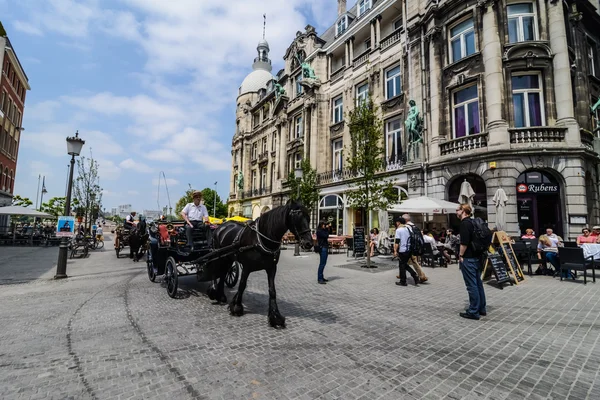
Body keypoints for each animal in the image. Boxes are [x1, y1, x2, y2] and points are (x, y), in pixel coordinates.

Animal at [206, 200, 312, 328]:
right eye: (297, 218)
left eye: (309, 218)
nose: (309, 243)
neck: (261, 238)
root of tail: (220, 227)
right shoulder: (247, 267)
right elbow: (242, 285)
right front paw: (236, 307)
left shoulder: (272, 268)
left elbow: (272, 290)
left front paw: (275, 316)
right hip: (218, 255)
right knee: (215, 271)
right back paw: (213, 291)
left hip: (228, 258)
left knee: (223, 273)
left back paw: (221, 296)